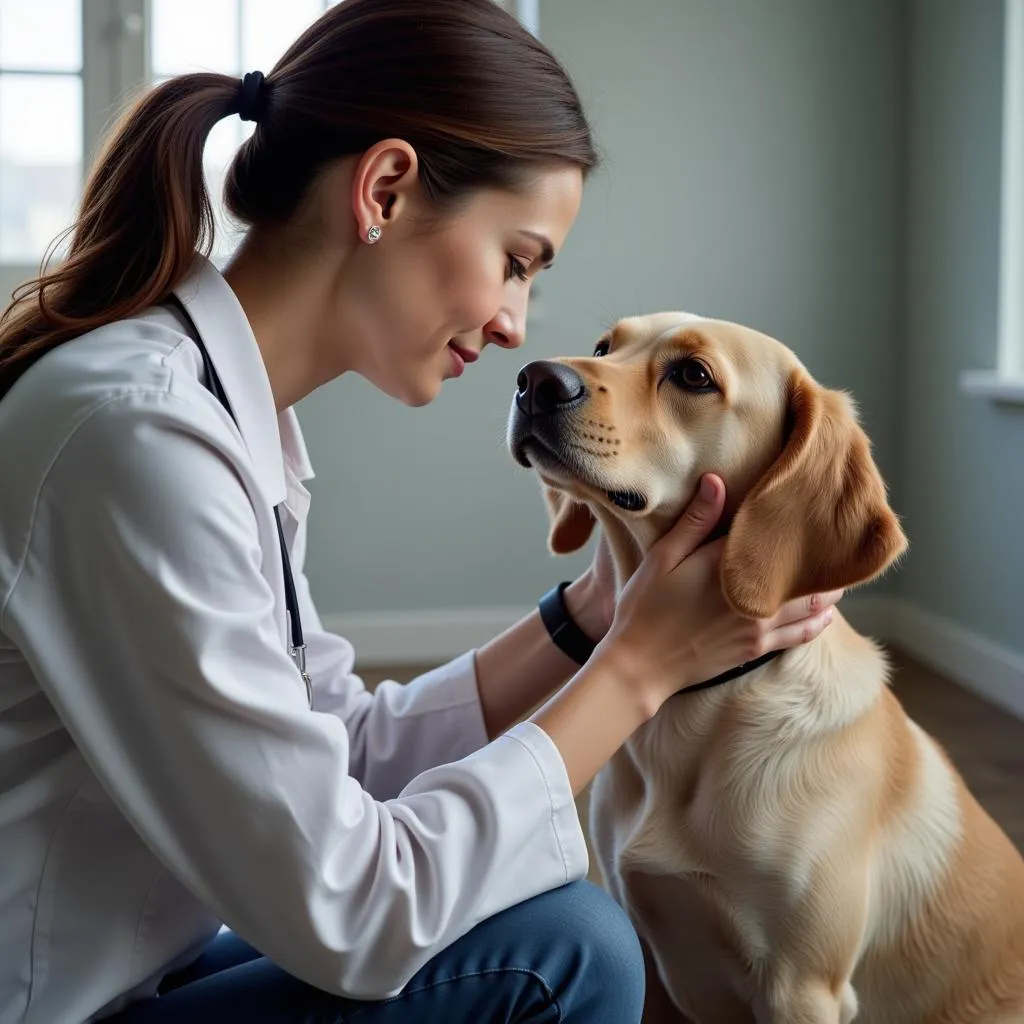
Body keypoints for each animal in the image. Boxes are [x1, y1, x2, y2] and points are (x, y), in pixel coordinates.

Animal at [503, 311, 1024, 1024]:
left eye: (694, 375)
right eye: (605, 346)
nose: (535, 380)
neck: (695, 706)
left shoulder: (802, 987)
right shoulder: (649, 955)